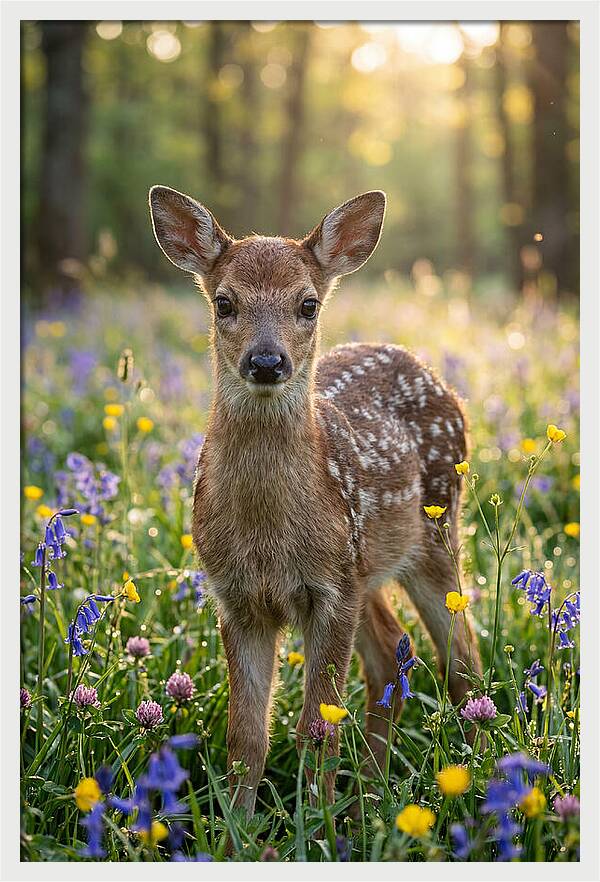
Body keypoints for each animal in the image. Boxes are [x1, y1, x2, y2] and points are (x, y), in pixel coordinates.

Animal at [149, 185, 481, 819]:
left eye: (307, 304)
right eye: (223, 303)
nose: (266, 361)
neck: (267, 535)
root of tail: (434, 375)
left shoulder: (329, 589)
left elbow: (316, 726)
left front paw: (316, 825)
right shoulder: (237, 597)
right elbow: (246, 735)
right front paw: (238, 829)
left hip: (433, 533)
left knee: (463, 662)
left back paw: (476, 786)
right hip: (367, 566)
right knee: (391, 653)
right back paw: (371, 796)